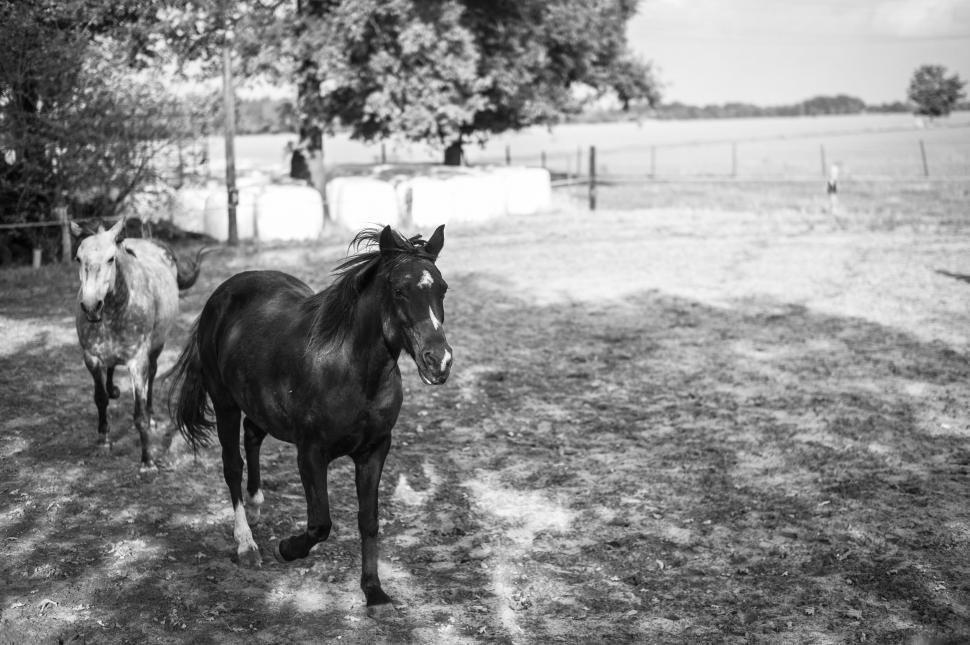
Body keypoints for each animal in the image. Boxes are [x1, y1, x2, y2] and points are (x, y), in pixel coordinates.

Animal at [72, 216, 205, 472]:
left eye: (111, 258)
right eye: (78, 259)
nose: (91, 306)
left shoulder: (137, 362)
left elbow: (139, 414)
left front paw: (147, 461)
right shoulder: (91, 358)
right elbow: (100, 398)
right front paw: (103, 441)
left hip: (156, 347)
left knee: (152, 374)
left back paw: (152, 416)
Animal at [167, 224, 452, 614]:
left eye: (442, 288)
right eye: (399, 290)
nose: (439, 361)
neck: (350, 369)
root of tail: (221, 294)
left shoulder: (375, 450)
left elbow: (369, 521)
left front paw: (374, 591)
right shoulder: (311, 453)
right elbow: (320, 523)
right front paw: (285, 549)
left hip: (257, 403)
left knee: (252, 436)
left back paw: (256, 505)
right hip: (224, 402)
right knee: (232, 465)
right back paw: (247, 544)